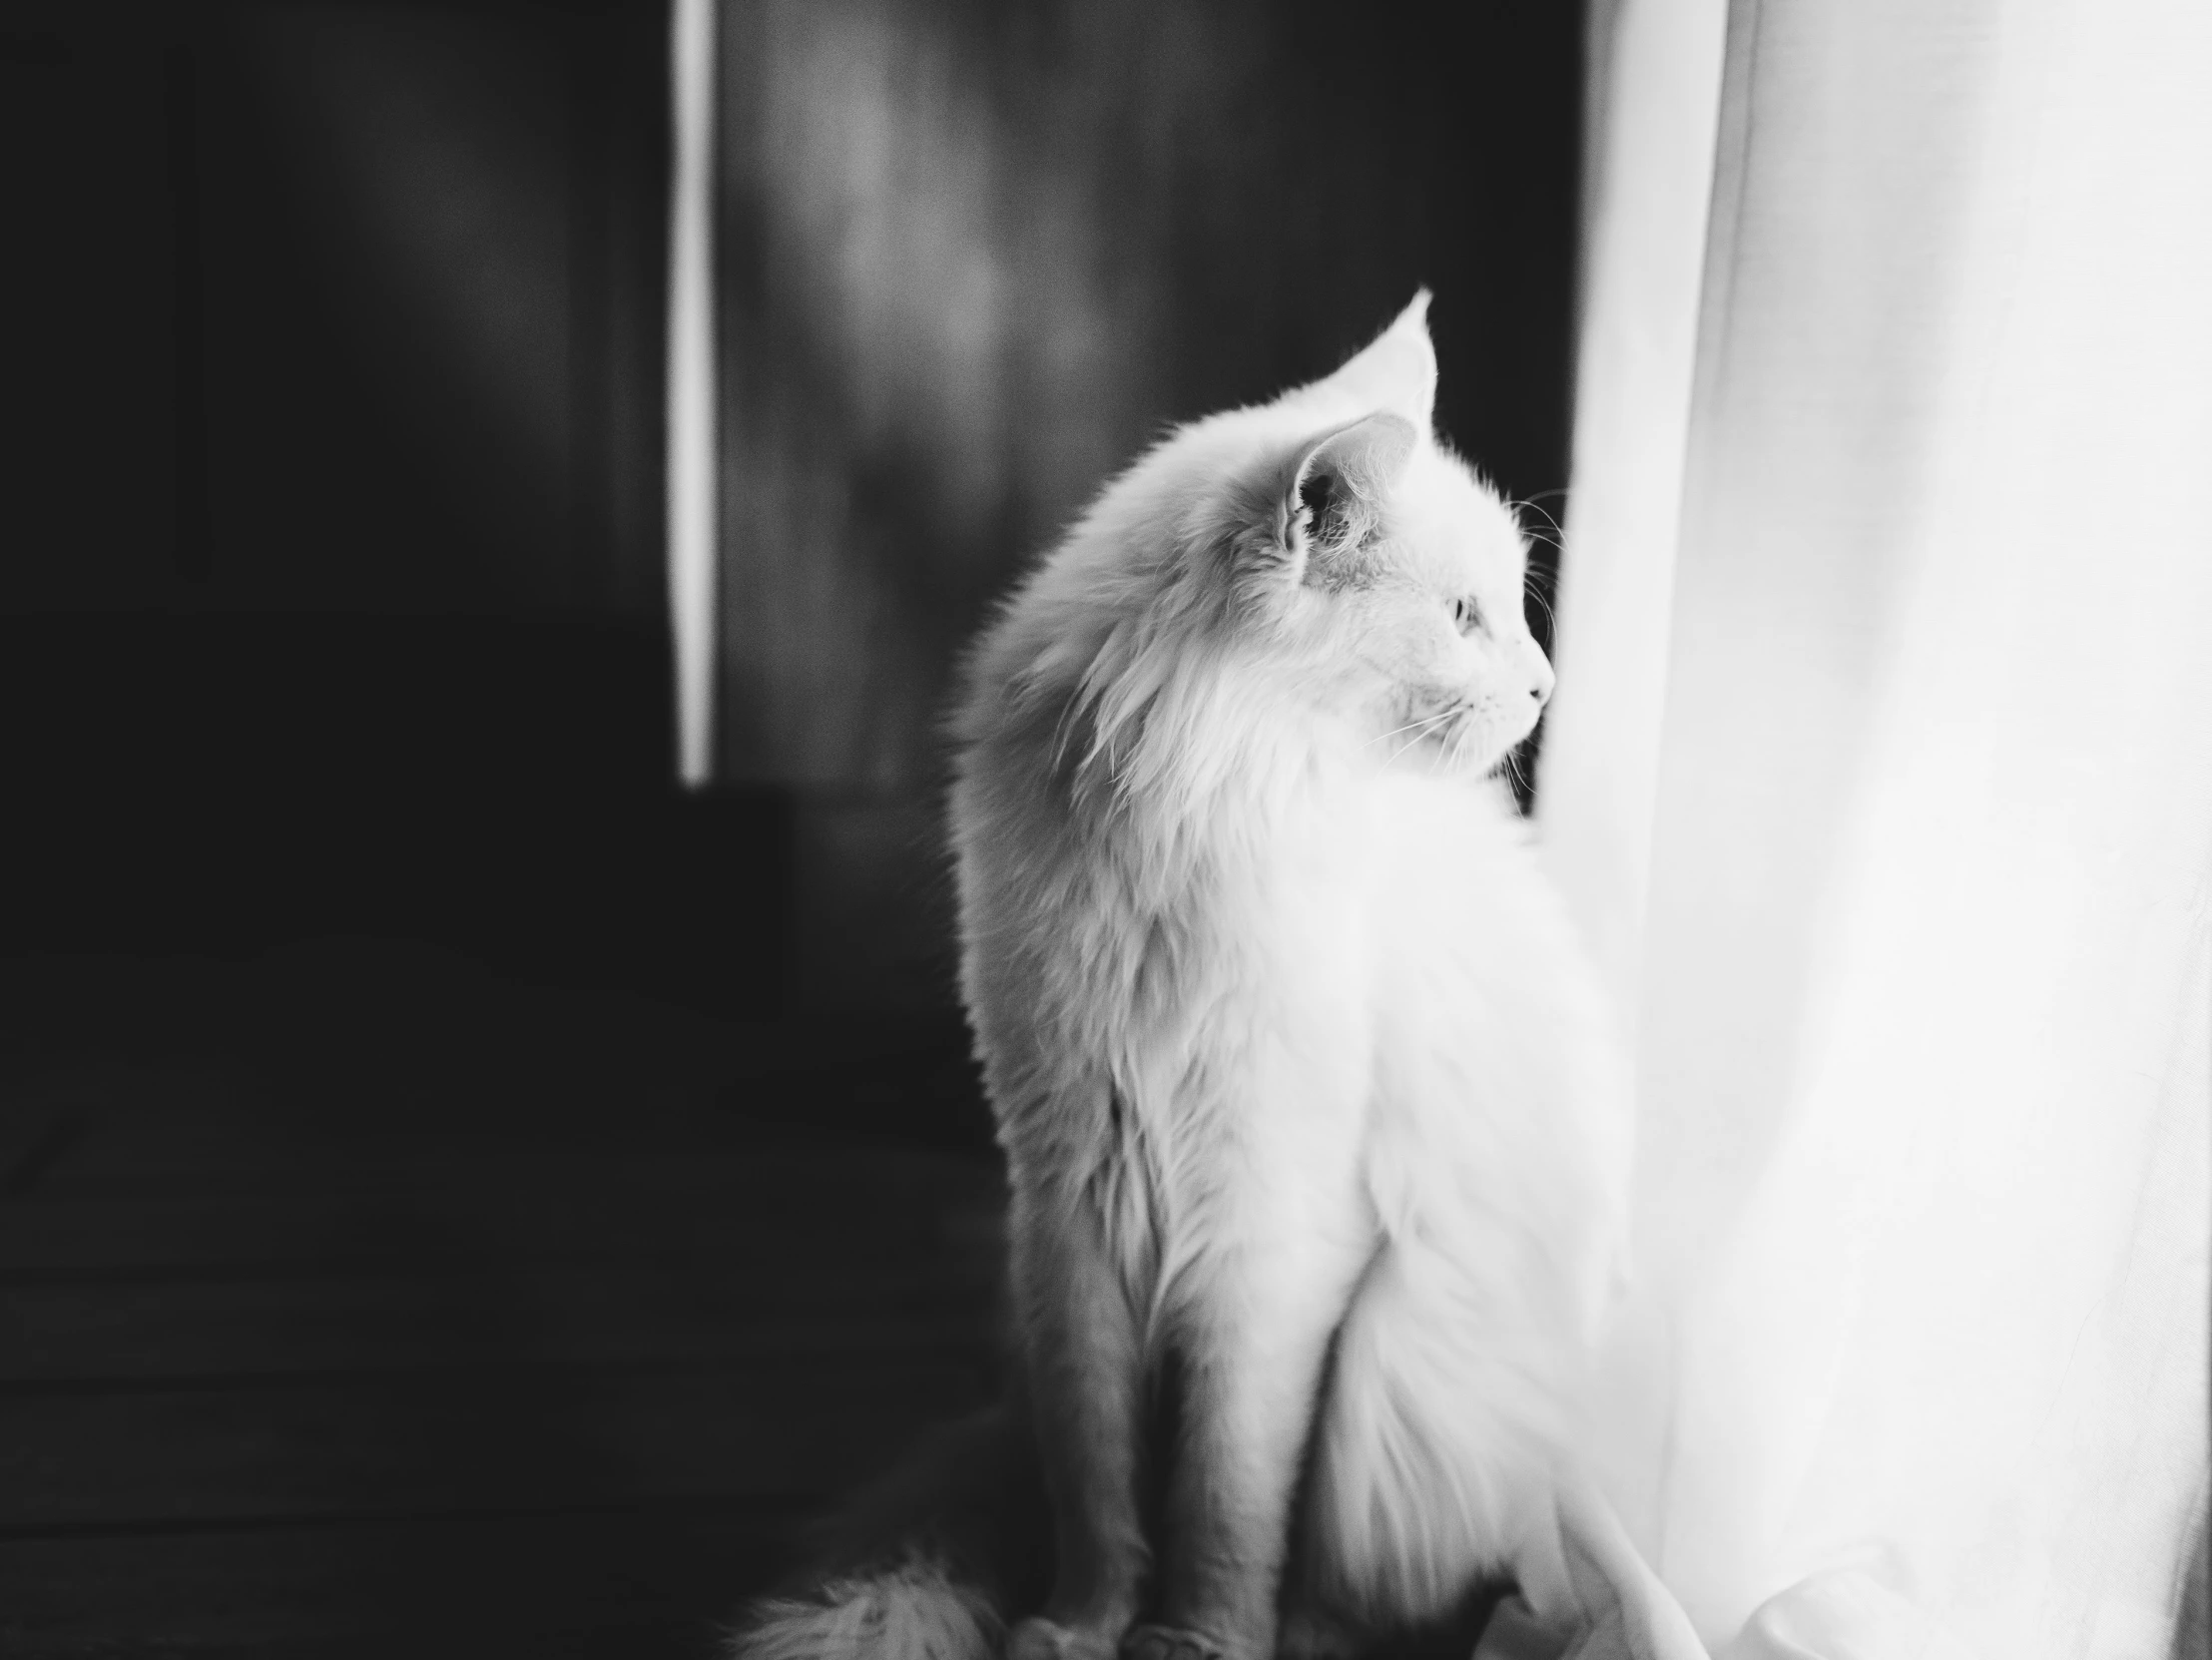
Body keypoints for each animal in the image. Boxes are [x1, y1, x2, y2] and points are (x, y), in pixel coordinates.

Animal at [743, 296, 1645, 1660]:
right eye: (1461, 618)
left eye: (1502, 612)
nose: (1543, 683)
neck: (1185, 818)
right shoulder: (1070, 1200)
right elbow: (1102, 1479)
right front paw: (1082, 1624)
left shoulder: (1267, 1237)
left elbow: (1224, 1491)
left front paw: (1198, 1639)